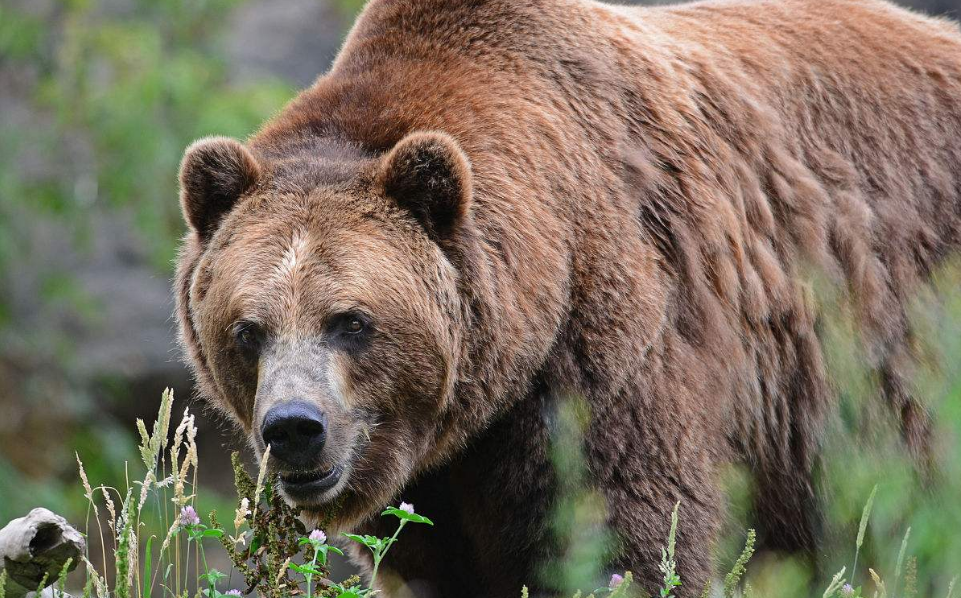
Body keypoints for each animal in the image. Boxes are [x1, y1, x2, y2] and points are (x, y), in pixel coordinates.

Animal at [172, 1, 960, 596]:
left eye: (351, 321)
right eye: (246, 329)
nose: (293, 428)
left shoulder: (611, 358)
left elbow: (632, 540)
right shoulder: (434, 484)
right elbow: (425, 560)